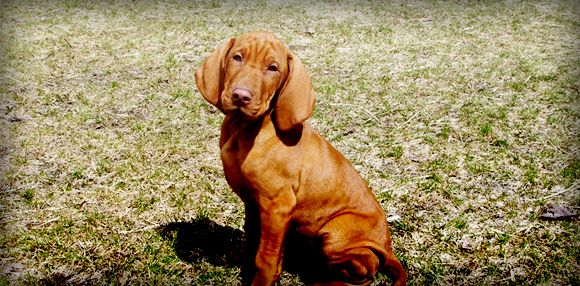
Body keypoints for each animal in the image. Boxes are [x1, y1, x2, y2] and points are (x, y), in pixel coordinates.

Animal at [195, 31, 404, 286]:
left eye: (273, 68)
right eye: (237, 57)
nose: (241, 96)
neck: (244, 129)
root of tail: (389, 250)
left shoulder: (277, 206)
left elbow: (265, 259)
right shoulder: (253, 204)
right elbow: (254, 241)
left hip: (336, 234)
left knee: (363, 275)